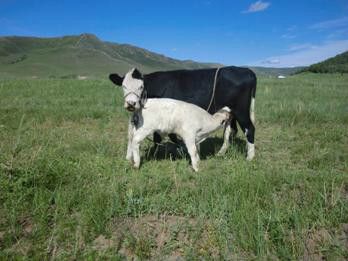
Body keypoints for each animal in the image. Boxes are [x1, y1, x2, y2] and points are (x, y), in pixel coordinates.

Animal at [109, 65, 256, 158]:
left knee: (249, 128)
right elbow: (165, 136)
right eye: (123, 86)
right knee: (230, 130)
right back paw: (221, 152)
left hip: (241, 110)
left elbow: (164, 136)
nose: (131, 104)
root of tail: (247, 71)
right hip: (230, 112)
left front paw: (158, 153)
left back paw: (250, 157)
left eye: (141, 86)